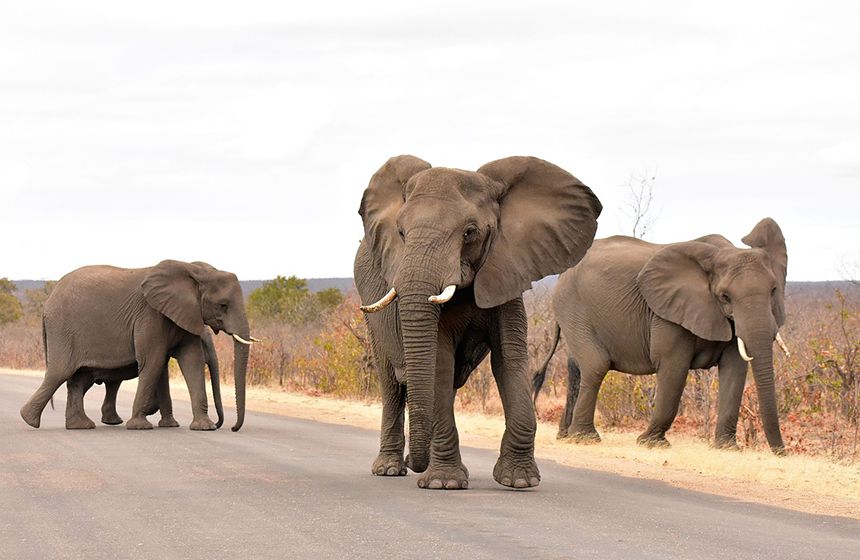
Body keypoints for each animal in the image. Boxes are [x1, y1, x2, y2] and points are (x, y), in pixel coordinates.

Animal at [352, 154, 600, 490]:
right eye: (401, 233)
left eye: (470, 232)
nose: (416, 464)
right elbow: (440, 361)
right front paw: (443, 484)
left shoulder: (508, 273)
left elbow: (510, 360)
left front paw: (519, 480)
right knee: (391, 384)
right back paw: (390, 469)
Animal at [536, 219, 788, 456]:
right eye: (725, 296)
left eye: (774, 290)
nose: (781, 452)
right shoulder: (666, 314)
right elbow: (673, 367)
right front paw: (651, 443)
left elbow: (735, 370)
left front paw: (727, 448)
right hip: (572, 307)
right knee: (595, 365)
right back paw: (585, 438)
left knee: (576, 367)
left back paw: (565, 436)